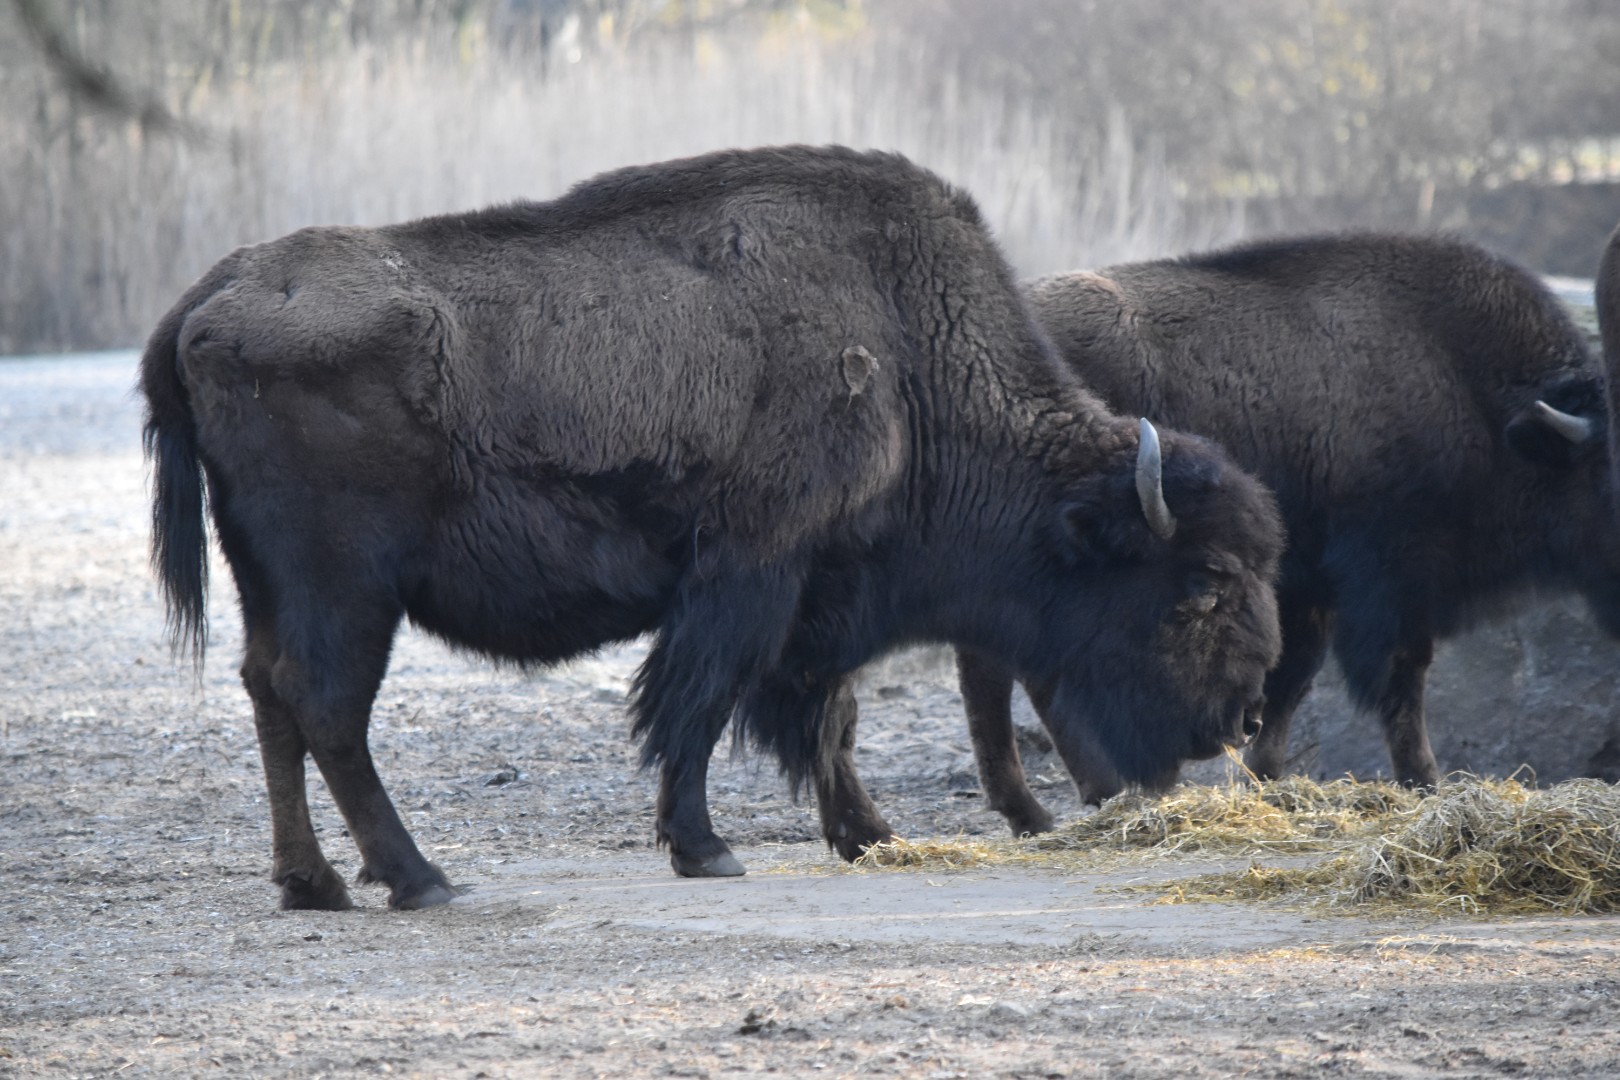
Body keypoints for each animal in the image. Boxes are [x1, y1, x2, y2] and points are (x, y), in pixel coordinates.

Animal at [141, 145, 1283, 909]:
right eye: (1204, 581)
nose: (1244, 711)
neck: (904, 362)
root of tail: (215, 292)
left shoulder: (820, 592)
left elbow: (827, 717)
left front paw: (866, 836)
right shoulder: (752, 574)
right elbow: (710, 705)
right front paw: (707, 847)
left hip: (271, 583)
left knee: (270, 696)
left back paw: (314, 884)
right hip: (347, 588)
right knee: (327, 706)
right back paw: (418, 878)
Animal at [940, 232, 1613, 836]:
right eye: (1609, 473)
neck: (1472, 388)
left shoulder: (1310, 587)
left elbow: (1290, 680)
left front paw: (1263, 777)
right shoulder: (1390, 579)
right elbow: (1399, 682)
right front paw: (1425, 783)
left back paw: (1081, 797)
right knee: (994, 670)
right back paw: (1049, 808)